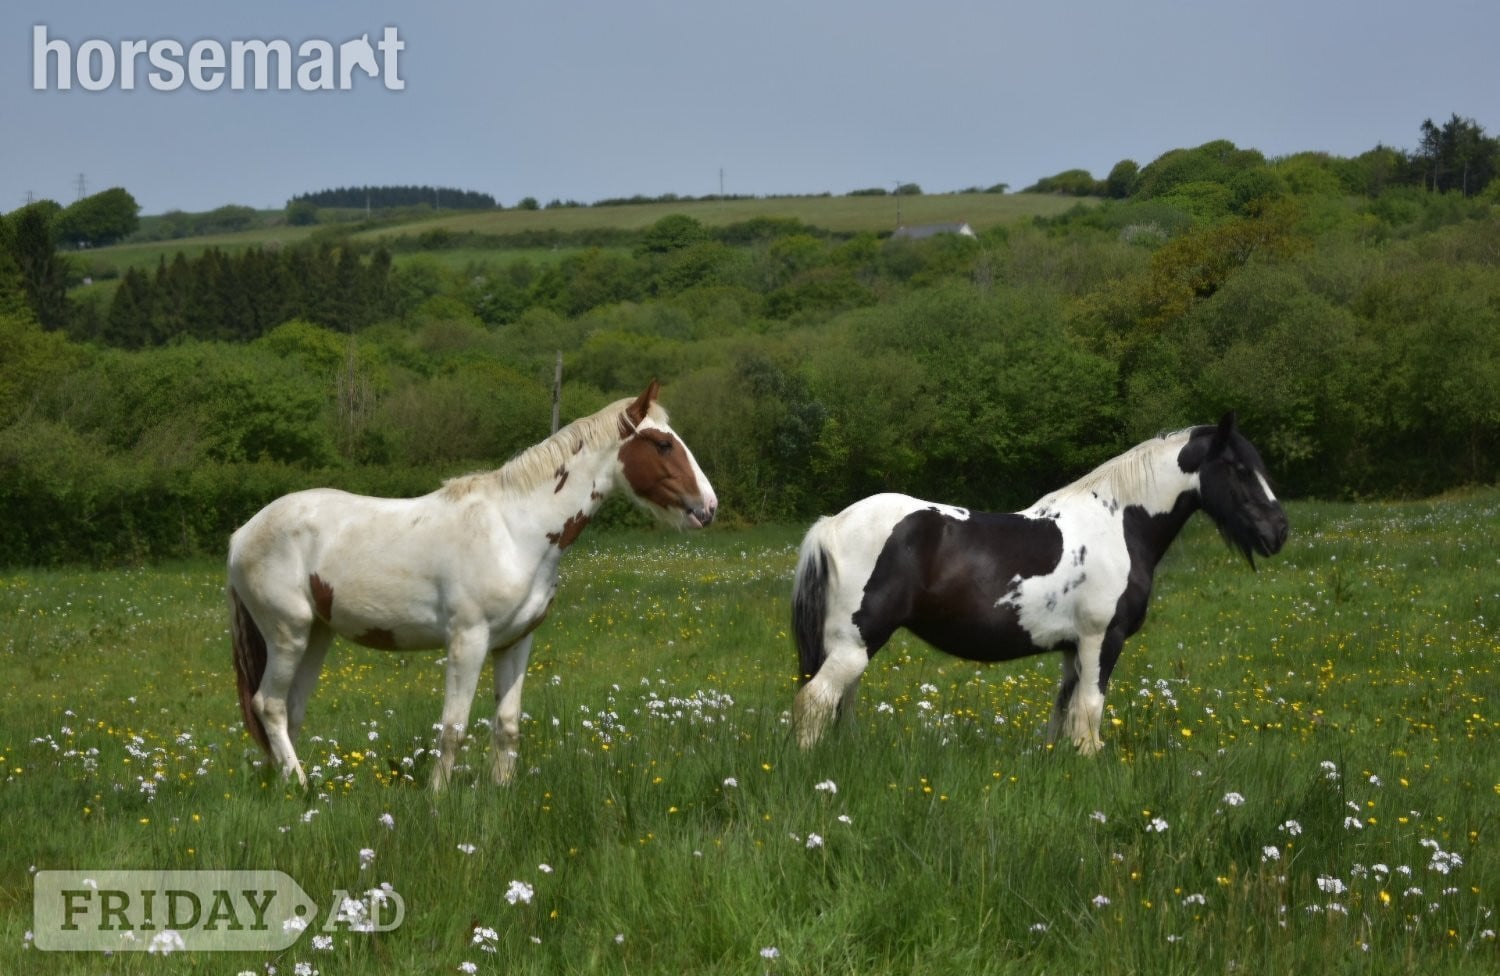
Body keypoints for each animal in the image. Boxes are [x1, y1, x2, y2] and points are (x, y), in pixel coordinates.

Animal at [228, 381, 717, 789]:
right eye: (663, 444)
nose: (708, 507)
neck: (514, 530)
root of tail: (241, 535)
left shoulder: (516, 642)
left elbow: (507, 725)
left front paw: (500, 793)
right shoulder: (468, 640)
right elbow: (454, 728)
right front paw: (438, 798)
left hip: (317, 635)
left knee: (291, 710)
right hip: (287, 633)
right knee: (269, 705)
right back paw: (301, 786)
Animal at [791, 413, 1288, 753]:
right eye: (1240, 469)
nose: (1279, 531)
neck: (1118, 524)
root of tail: (831, 524)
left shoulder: (1072, 649)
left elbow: (1063, 714)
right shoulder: (1101, 640)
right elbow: (1089, 712)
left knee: (840, 703)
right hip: (855, 643)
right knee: (816, 701)